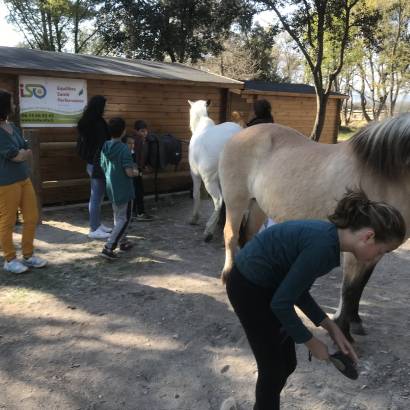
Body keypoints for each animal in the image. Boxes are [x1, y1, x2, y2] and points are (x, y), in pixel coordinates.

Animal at [188, 99, 242, 240]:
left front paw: (194, 218)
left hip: (209, 181)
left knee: (218, 201)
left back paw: (209, 231)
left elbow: (196, 194)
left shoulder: (195, 175)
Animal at [219, 113, 410, 342]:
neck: (384, 174)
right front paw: (343, 332)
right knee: (230, 236)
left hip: (257, 206)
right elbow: (349, 290)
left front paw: (355, 321)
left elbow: (360, 286)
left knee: (247, 237)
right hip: (236, 202)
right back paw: (227, 276)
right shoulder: (355, 251)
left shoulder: (375, 252)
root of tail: (240, 132)